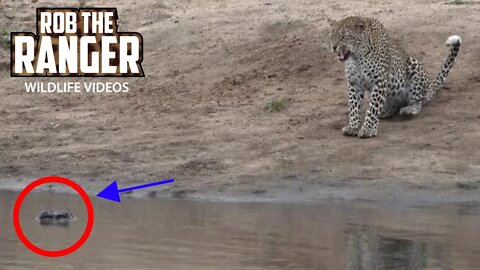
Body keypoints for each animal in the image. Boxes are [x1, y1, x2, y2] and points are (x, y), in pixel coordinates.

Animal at [326, 15, 462, 138]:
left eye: (344, 36)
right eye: (331, 36)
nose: (333, 47)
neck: (356, 57)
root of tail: (428, 87)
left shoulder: (379, 80)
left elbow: (373, 106)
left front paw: (368, 128)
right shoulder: (354, 83)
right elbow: (354, 107)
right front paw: (353, 127)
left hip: (413, 65)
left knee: (418, 100)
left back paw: (410, 109)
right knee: (392, 105)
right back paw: (385, 111)